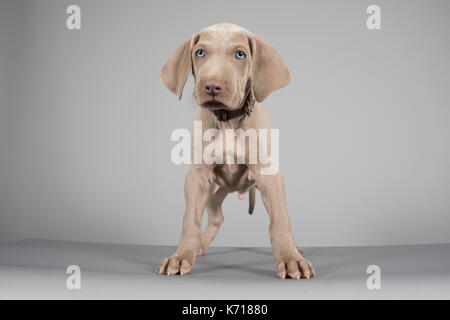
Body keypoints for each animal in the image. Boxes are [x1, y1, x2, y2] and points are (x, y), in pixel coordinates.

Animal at [158, 22, 316, 278]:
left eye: (240, 55)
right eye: (199, 52)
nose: (212, 85)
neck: (227, 119)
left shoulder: (269, 175)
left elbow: (280, 220)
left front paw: (290, 258)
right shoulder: (196, 177)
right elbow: (190, 220)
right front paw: (181, 256)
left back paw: (296, 249)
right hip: (212, 192)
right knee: (216, 218)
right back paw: (199, 246)